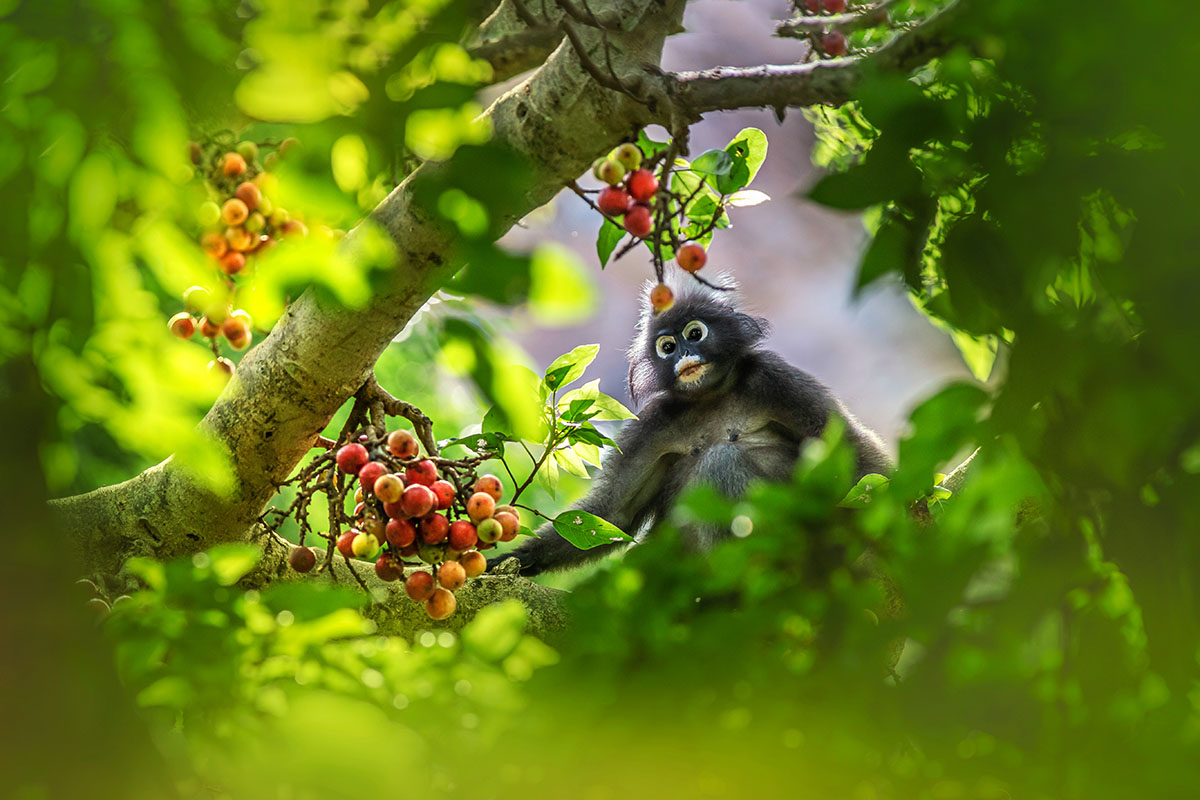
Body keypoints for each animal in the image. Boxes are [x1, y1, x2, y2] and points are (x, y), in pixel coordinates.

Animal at [490, 273, 891, 577]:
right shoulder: (653, 422)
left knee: (721, 460)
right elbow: (613, 513)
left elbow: (854, 451)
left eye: (694, 334)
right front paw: (512, 561)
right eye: (667, 346)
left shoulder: (775, 380)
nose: (684, 354)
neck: (710, 396)